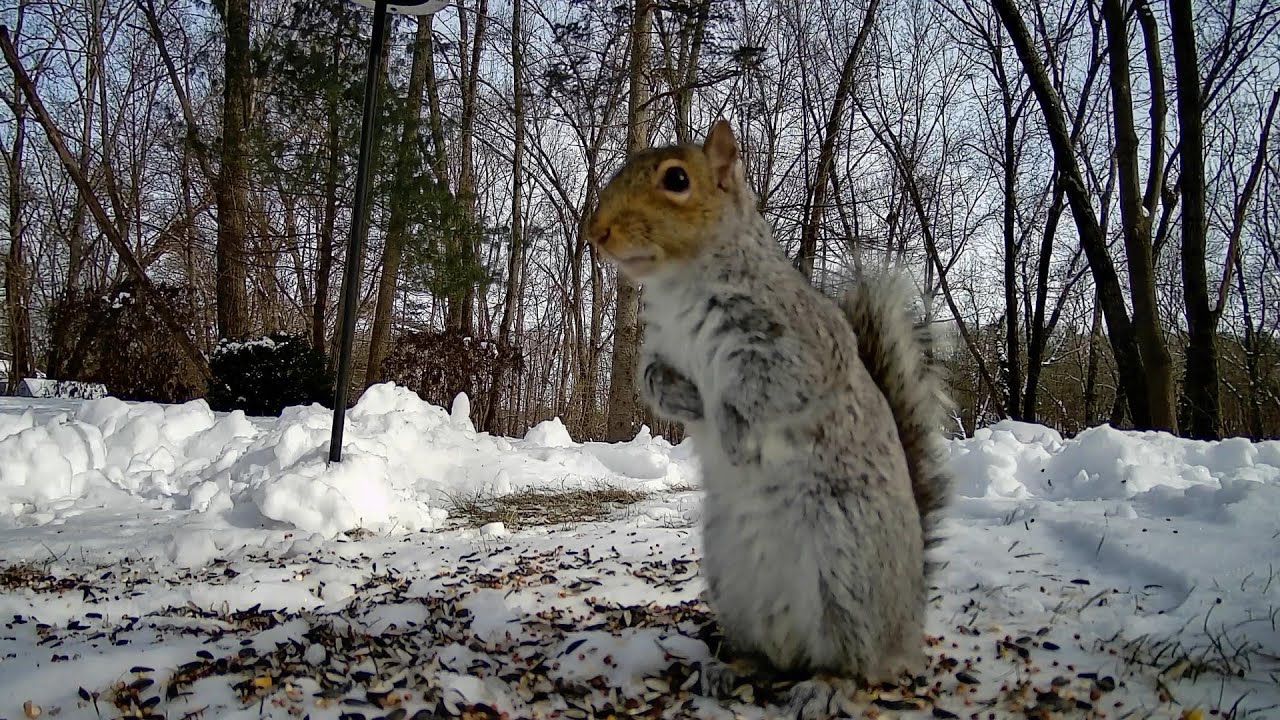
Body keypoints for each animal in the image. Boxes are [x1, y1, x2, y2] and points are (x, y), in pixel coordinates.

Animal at [586, 119, 952, 715]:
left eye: (677, 180)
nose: (597, 231)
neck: (680, 284)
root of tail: (907, 623)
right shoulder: (659, 350)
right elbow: (653, 383)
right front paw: (688, 403)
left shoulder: (802, 350)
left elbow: (758, 393)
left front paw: (730, 430)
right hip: (731, 577)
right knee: (766, 655)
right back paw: (731, 669)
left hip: (850, 574)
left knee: (858, 665)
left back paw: (824, 685)